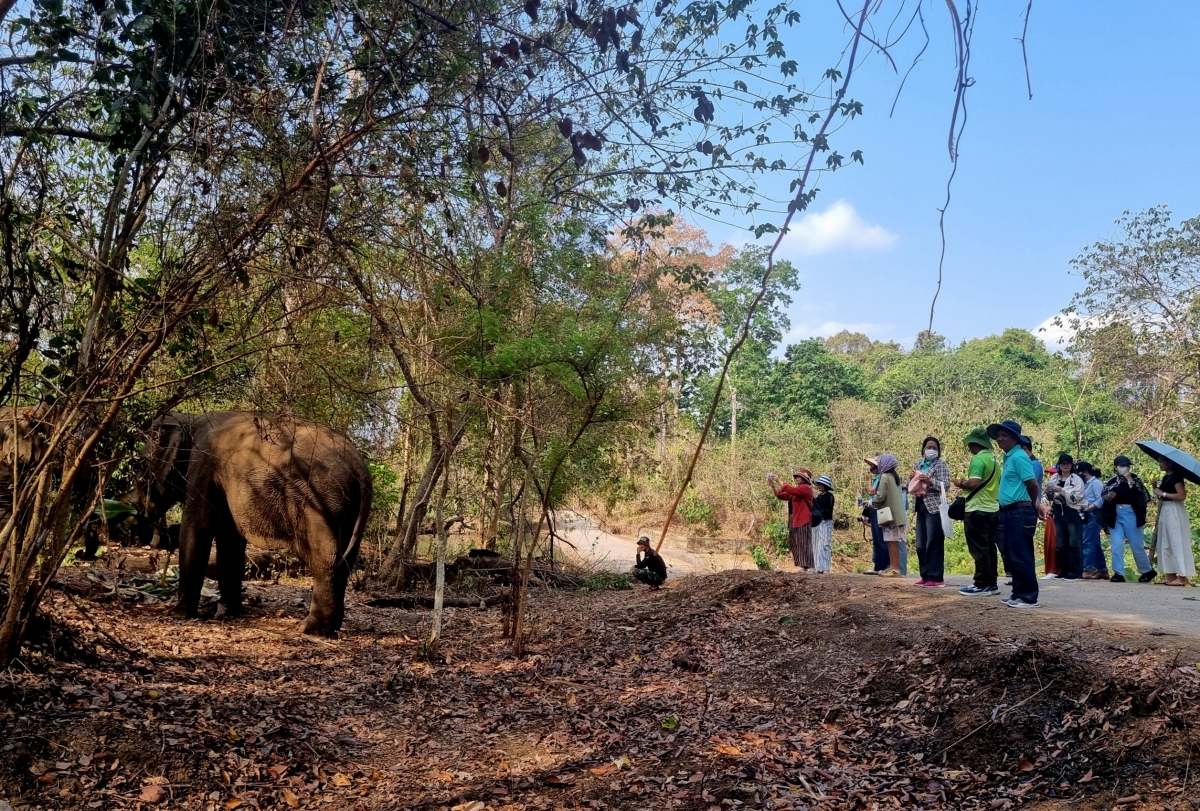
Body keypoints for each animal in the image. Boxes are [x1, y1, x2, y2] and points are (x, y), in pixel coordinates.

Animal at [137, 412, 369, 633]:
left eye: (141, 466)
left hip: (322, 502)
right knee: (345, 561)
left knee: (326, 559)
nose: (158, 539)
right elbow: (230, 538)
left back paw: (309, 629)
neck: (189, 420)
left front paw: (178, 614)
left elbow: (198, 528)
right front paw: (229, 612)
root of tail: (359, 467)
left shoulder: (203, 465)